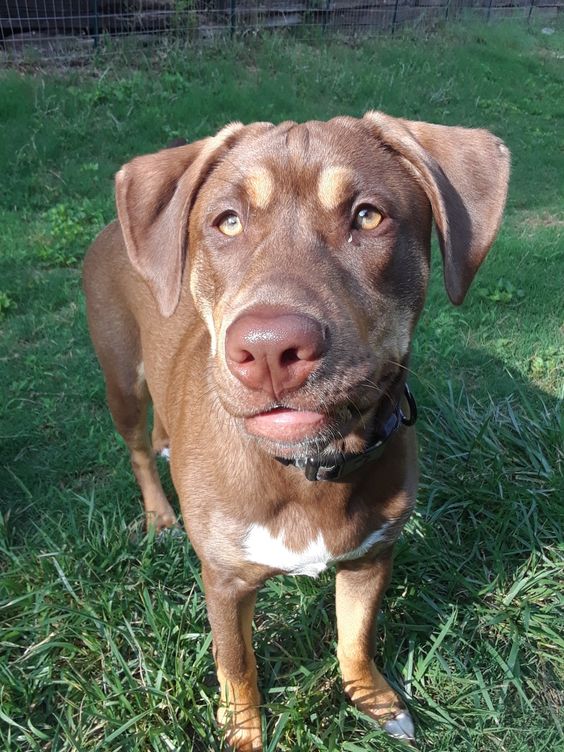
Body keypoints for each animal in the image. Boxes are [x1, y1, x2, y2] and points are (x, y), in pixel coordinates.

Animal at [83, 108, 512, 748]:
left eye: (368, 215)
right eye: (227, 222)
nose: (268, 348)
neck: (308, 467)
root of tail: (114, 226)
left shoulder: (371, 555)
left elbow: (356, 638)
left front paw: (375, 701)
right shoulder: (225, 579)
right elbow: (237, 665)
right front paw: (242, 731)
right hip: (122, 378)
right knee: (135, 449)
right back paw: (159, 515)